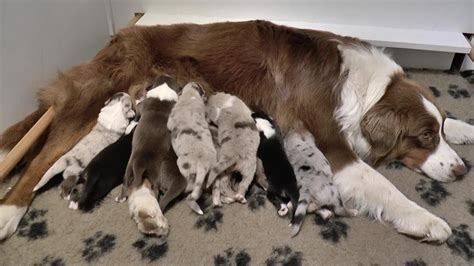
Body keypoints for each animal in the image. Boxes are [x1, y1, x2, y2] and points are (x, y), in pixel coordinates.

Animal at [167, 82, 217, 215]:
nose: (207, 96)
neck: (191, 95)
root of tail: (202, 165)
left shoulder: (170, 120)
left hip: (182, 165)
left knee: (191, 188)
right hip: (211, 175)